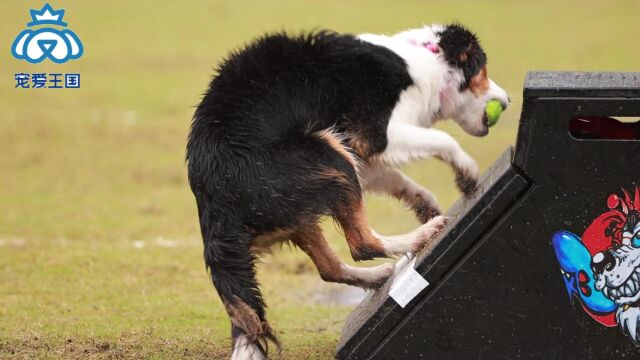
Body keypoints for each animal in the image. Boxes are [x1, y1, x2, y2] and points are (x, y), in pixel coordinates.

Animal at [186, 23, 510, 358]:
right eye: (483, 71)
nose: (507, 101)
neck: (425, 60)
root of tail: (213, 199)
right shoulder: (377, 135)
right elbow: (443, 140)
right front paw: (466, 173)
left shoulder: (362, 154)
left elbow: (399, 180)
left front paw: (427, 205)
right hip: (327, 152)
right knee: (362, 244)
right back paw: (421, 236)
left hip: (305, 197)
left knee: (329, 268)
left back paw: (382, 274)